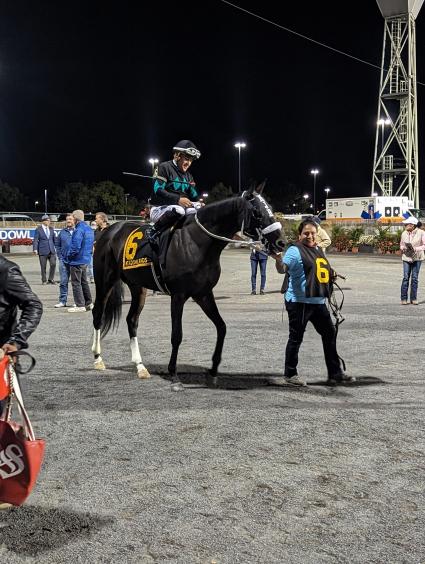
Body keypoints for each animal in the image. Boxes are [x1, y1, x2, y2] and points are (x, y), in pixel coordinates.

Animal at [90, 187, 282, 390]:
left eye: (270, 208)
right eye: (257, 212)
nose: (281, 242)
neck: (196, 241)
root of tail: (109, 230)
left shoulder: (203, 294)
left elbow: (221, 327)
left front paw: (213, 371)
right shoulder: (178, 295)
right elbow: (177, 335)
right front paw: (174, 374)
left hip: (138, 287)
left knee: (132, 320)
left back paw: (140, 366)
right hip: (105, 281)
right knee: (98, 314)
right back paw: (98, 359)